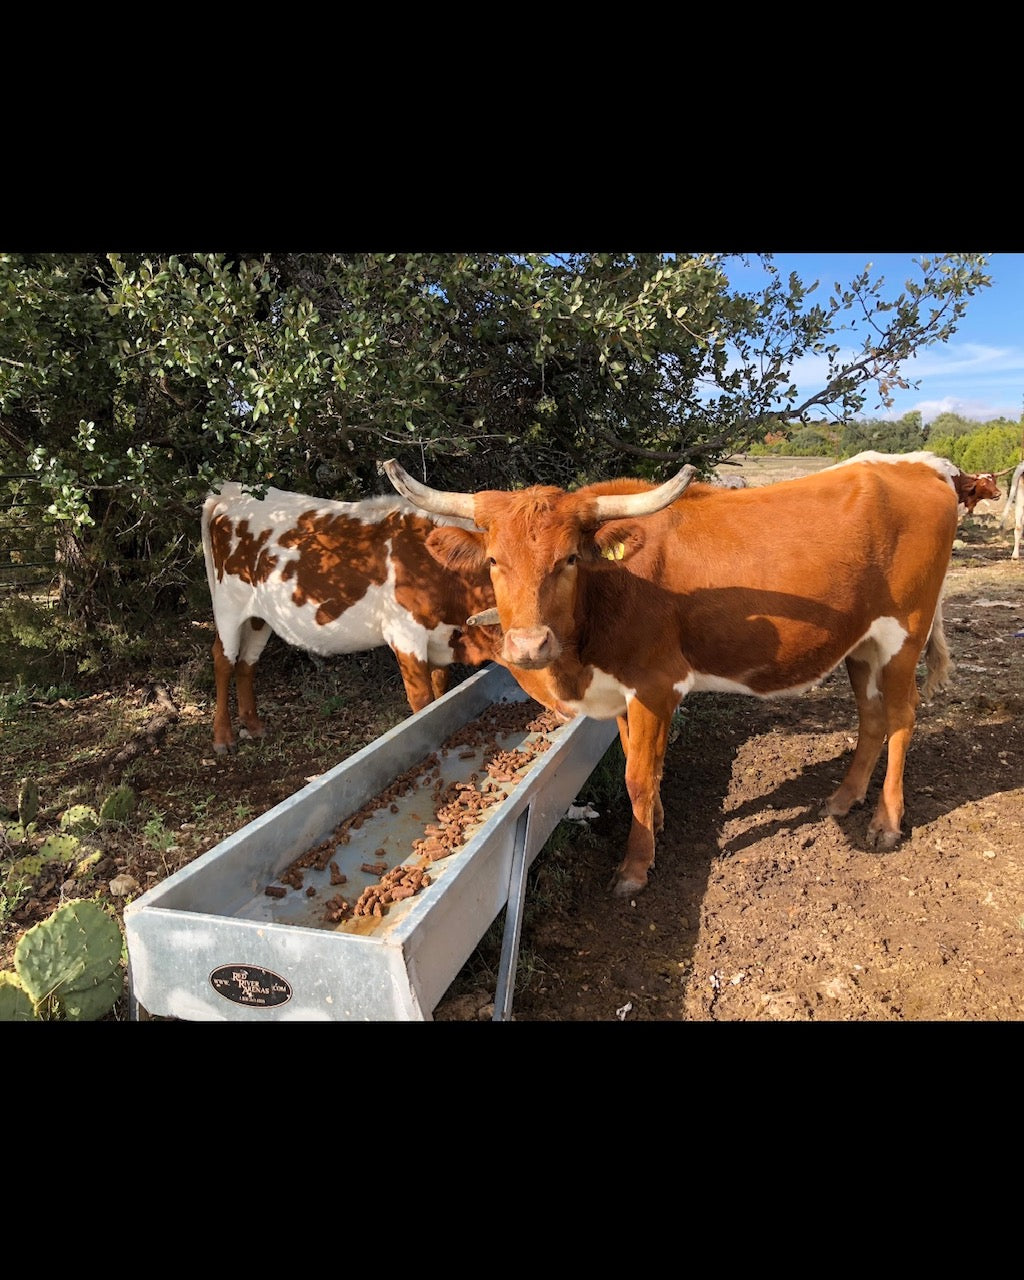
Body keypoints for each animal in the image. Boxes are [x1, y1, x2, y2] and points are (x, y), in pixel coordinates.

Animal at [201, 482, 499, 754]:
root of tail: (231, 491)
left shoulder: (439, 638)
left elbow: (440, 690)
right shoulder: (405, 634)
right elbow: (422, 698)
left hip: (258, 617)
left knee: (247, 662)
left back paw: (253, 725)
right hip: (229, 606)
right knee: (224, 660)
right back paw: (222, 738)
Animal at [383, 452, 959, 897]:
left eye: (569, 559)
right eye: (494, 561)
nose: (529, 644)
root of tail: (916, 468)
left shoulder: (654, 685)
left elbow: (638, 775)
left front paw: (635, 866)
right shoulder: (623, 693)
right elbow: (642, 762)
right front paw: (655, 824)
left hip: (904, 637)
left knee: (902, 717)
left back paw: (886, 821)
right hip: (863, 645)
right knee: (871, 717)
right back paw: (843, 799)